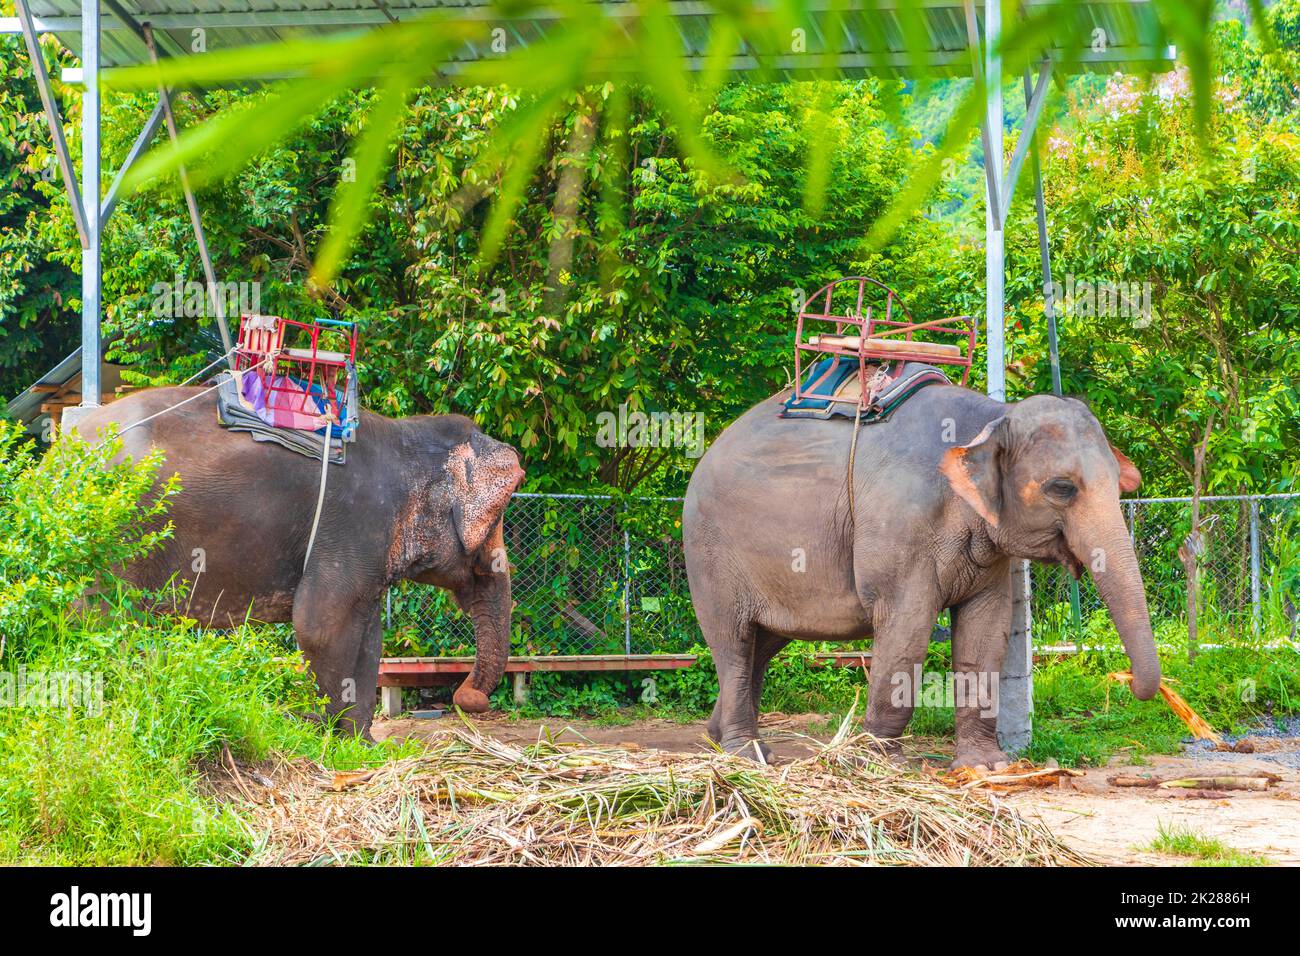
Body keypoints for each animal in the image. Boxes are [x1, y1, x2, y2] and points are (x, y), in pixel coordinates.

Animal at [73, 385, 522, 738]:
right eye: (495, 522)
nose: (466, 696)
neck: (405, 435)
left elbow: (369, 639)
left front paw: (361, 745)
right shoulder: (351, 524)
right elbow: (319, 627)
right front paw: (326, 737)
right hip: (114, 541)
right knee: (103, 622)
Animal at [681, 382, 1159, 770]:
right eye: (1062, 489)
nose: (1125, 682)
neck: (994, 415)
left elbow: (986, 632)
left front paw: (986, 768)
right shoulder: (901, 529)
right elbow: (906, 630)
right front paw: (880, 763)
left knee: (762, 643)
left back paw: (721, 741)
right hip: (710, 556)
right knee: (733, 640)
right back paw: (746, 755)